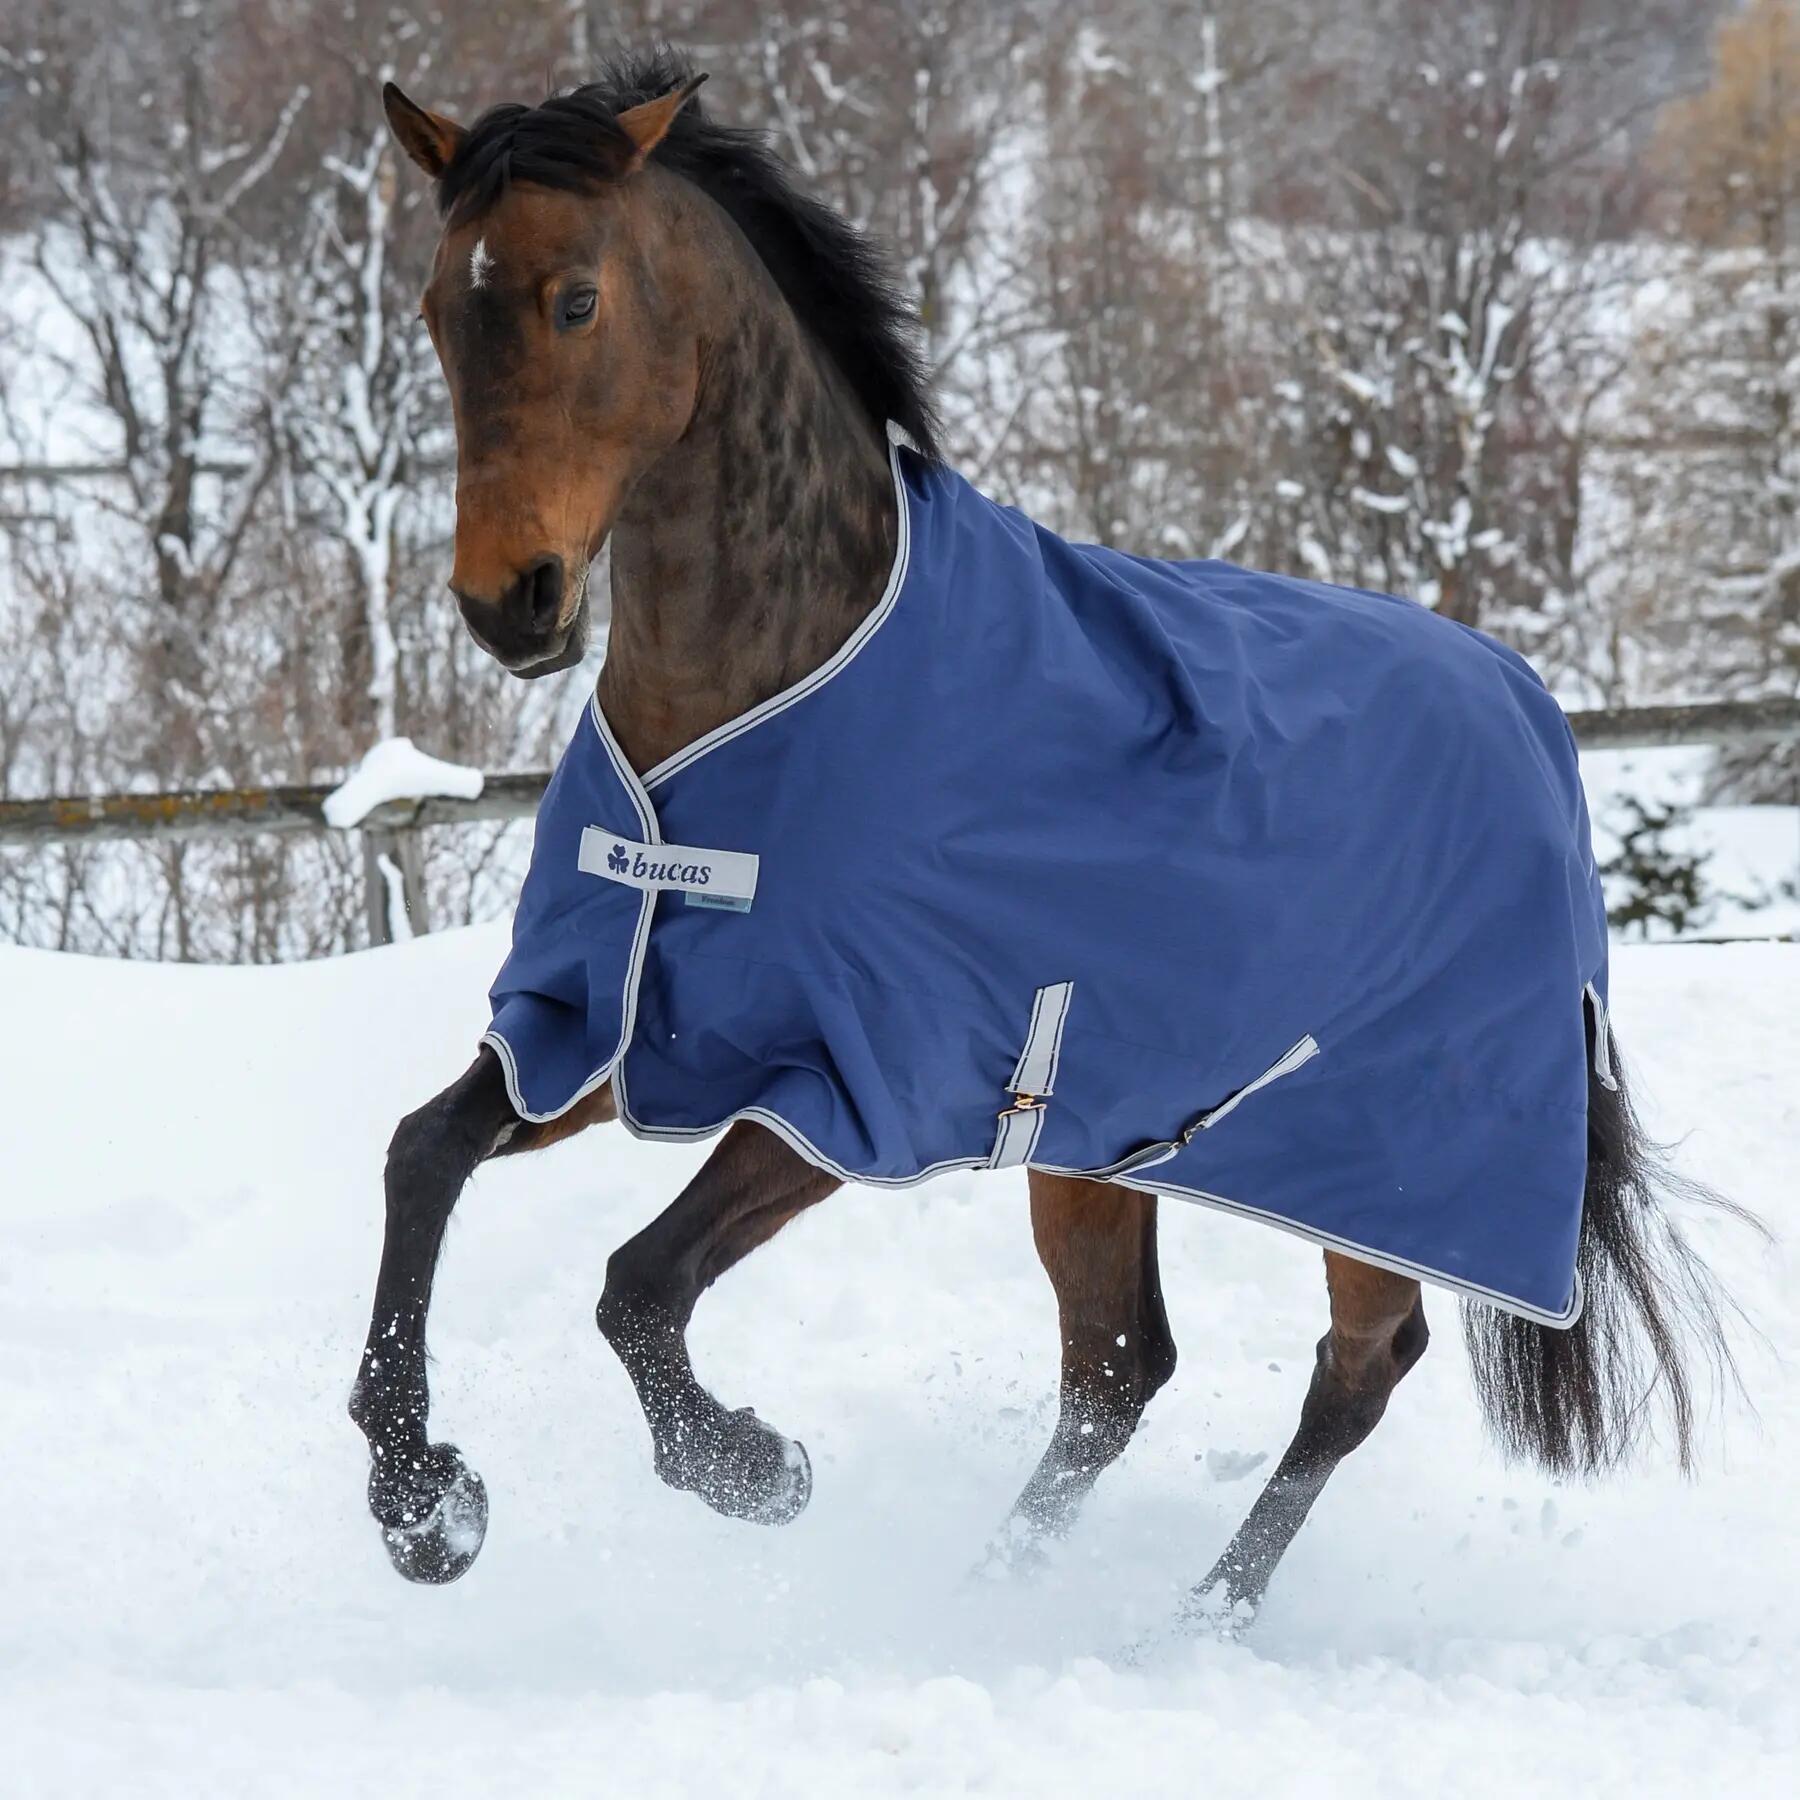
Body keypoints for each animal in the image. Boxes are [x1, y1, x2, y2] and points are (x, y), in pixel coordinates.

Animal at [349, 50, 1735, 1628]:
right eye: (436, 307)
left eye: (575, 298)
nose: (506, 601)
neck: (757, 703)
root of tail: (1532, 713)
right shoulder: (608, 1024)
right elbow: (421, 1156)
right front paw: (422, 1506)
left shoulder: (849, 1087)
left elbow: (637, 1284)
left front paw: (755, 1468)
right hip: (1099, 1144)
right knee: (1116, 1373)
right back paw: (992, 1594)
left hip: (1387, 1166)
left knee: (1358, 1367)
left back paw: (1195, 1622)